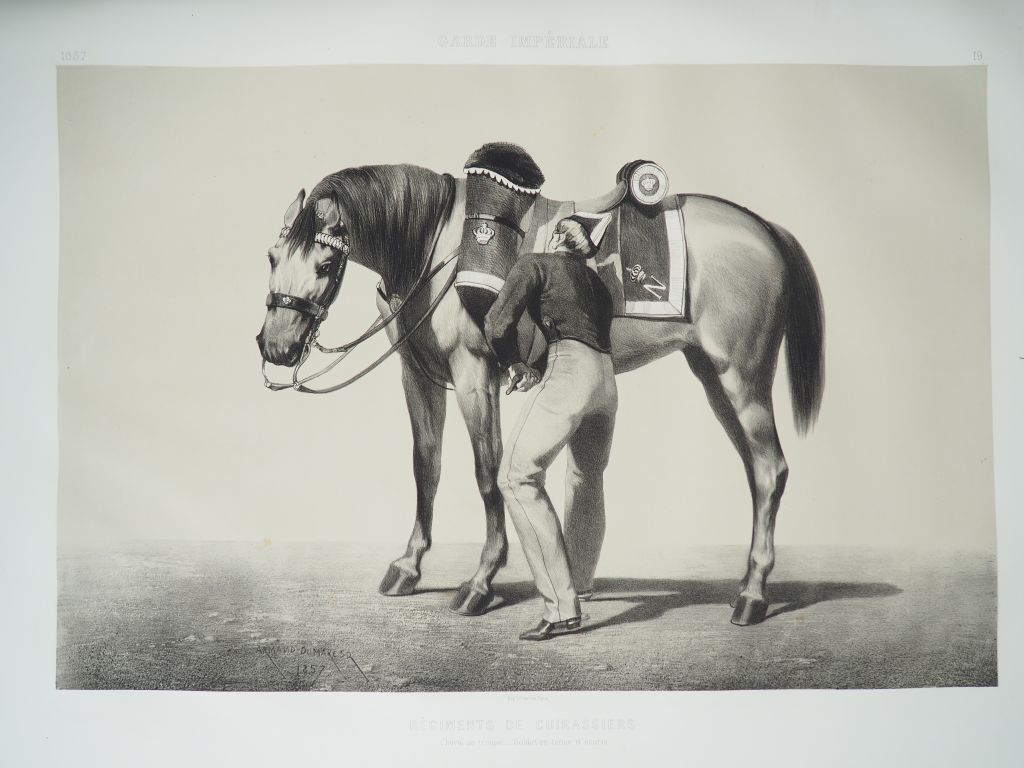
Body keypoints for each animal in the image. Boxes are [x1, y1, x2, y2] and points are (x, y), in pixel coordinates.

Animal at [256, 162, 824, 626]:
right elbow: (426, 467)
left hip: (742, 377)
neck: (436, 246)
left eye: (325, 265)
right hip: (712, 376)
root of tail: (765, 230)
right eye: (271, 256)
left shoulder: (474, 374)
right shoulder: (417, 376)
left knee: (770, 469)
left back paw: (752, 596)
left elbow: (487, 473)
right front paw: (408, 566)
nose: (276, 346)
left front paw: (480, 582)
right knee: (756, 472)